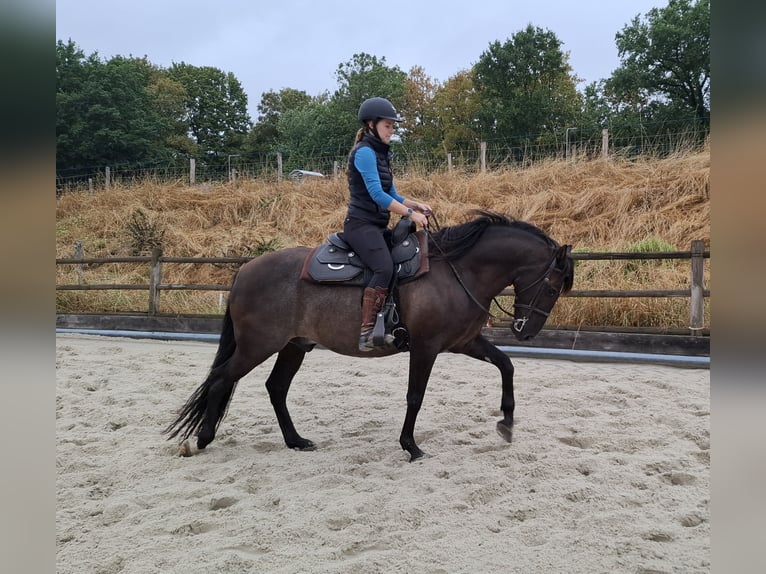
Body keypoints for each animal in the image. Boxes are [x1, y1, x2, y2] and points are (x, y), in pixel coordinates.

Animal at [165, 210, 574, 462]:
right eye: (553, 287)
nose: (526, 331)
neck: (458, 271)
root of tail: (245, 271)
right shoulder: (425, 348)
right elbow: (415, 396)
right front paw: (411, 446)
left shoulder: (463, 343)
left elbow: (506, 365)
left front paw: (506, 423)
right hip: (257, 345)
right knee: (221, 379)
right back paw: (201, 439)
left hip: (293, 346)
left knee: (275, 387)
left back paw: (296, 441)